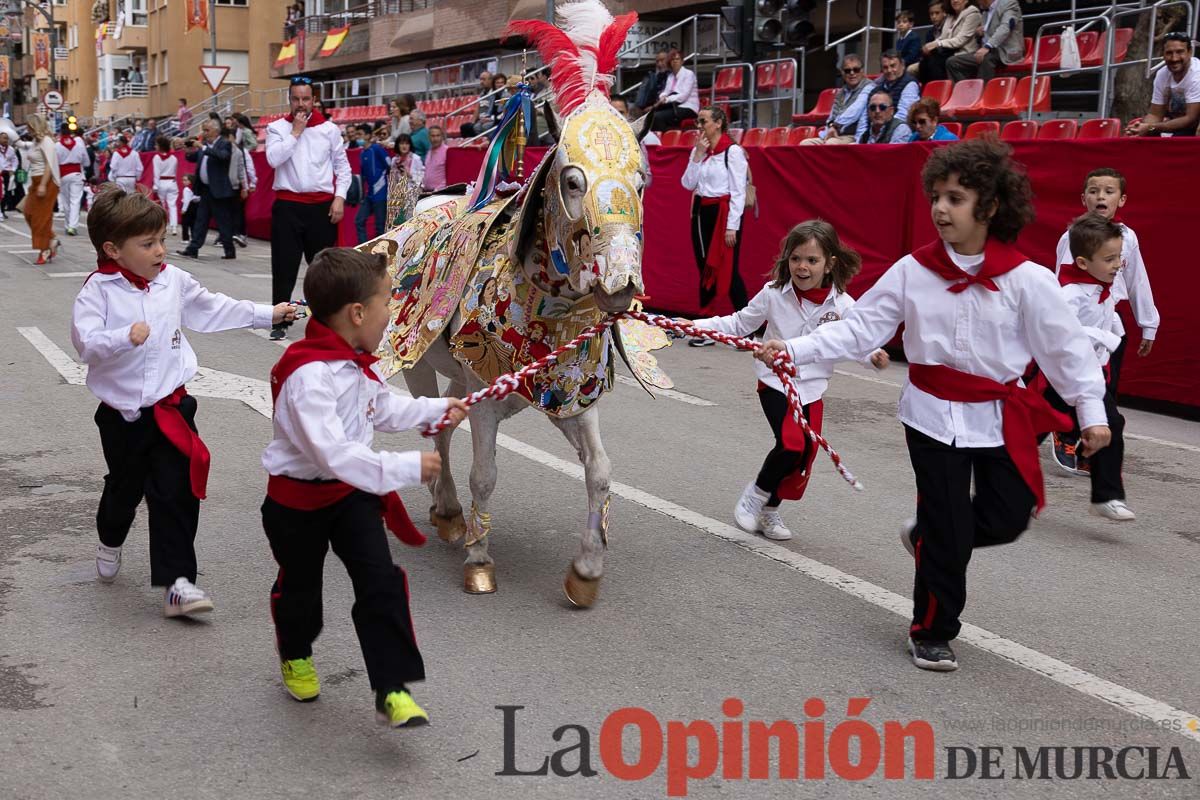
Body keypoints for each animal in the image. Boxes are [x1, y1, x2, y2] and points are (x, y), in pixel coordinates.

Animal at [360, 0, 672, 599]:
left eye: (642, 180)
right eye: (572, 181)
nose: (621, 283)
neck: (545, 313)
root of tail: (414, 210)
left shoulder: (572, 395)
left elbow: (600, 471)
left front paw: (586, 571)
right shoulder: (485, 389)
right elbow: (485, 474)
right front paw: (480, 560)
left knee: (444, 425)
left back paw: (448, 513)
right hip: (417, 360)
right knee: (435, 430)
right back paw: (450, 510)